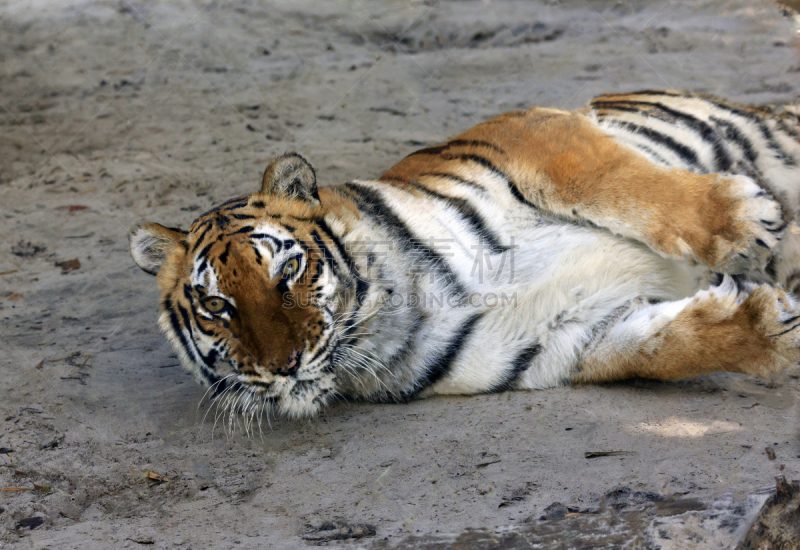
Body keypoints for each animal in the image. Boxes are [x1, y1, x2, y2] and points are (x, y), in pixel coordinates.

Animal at [128, 89, 800, 418]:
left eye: (289, 269)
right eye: (217, 306)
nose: (284, 366)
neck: (395, 313)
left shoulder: (531, 135)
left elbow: (627, 185)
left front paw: (743, 218)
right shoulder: (573, 334)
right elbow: (664, 346)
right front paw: (772, 329)